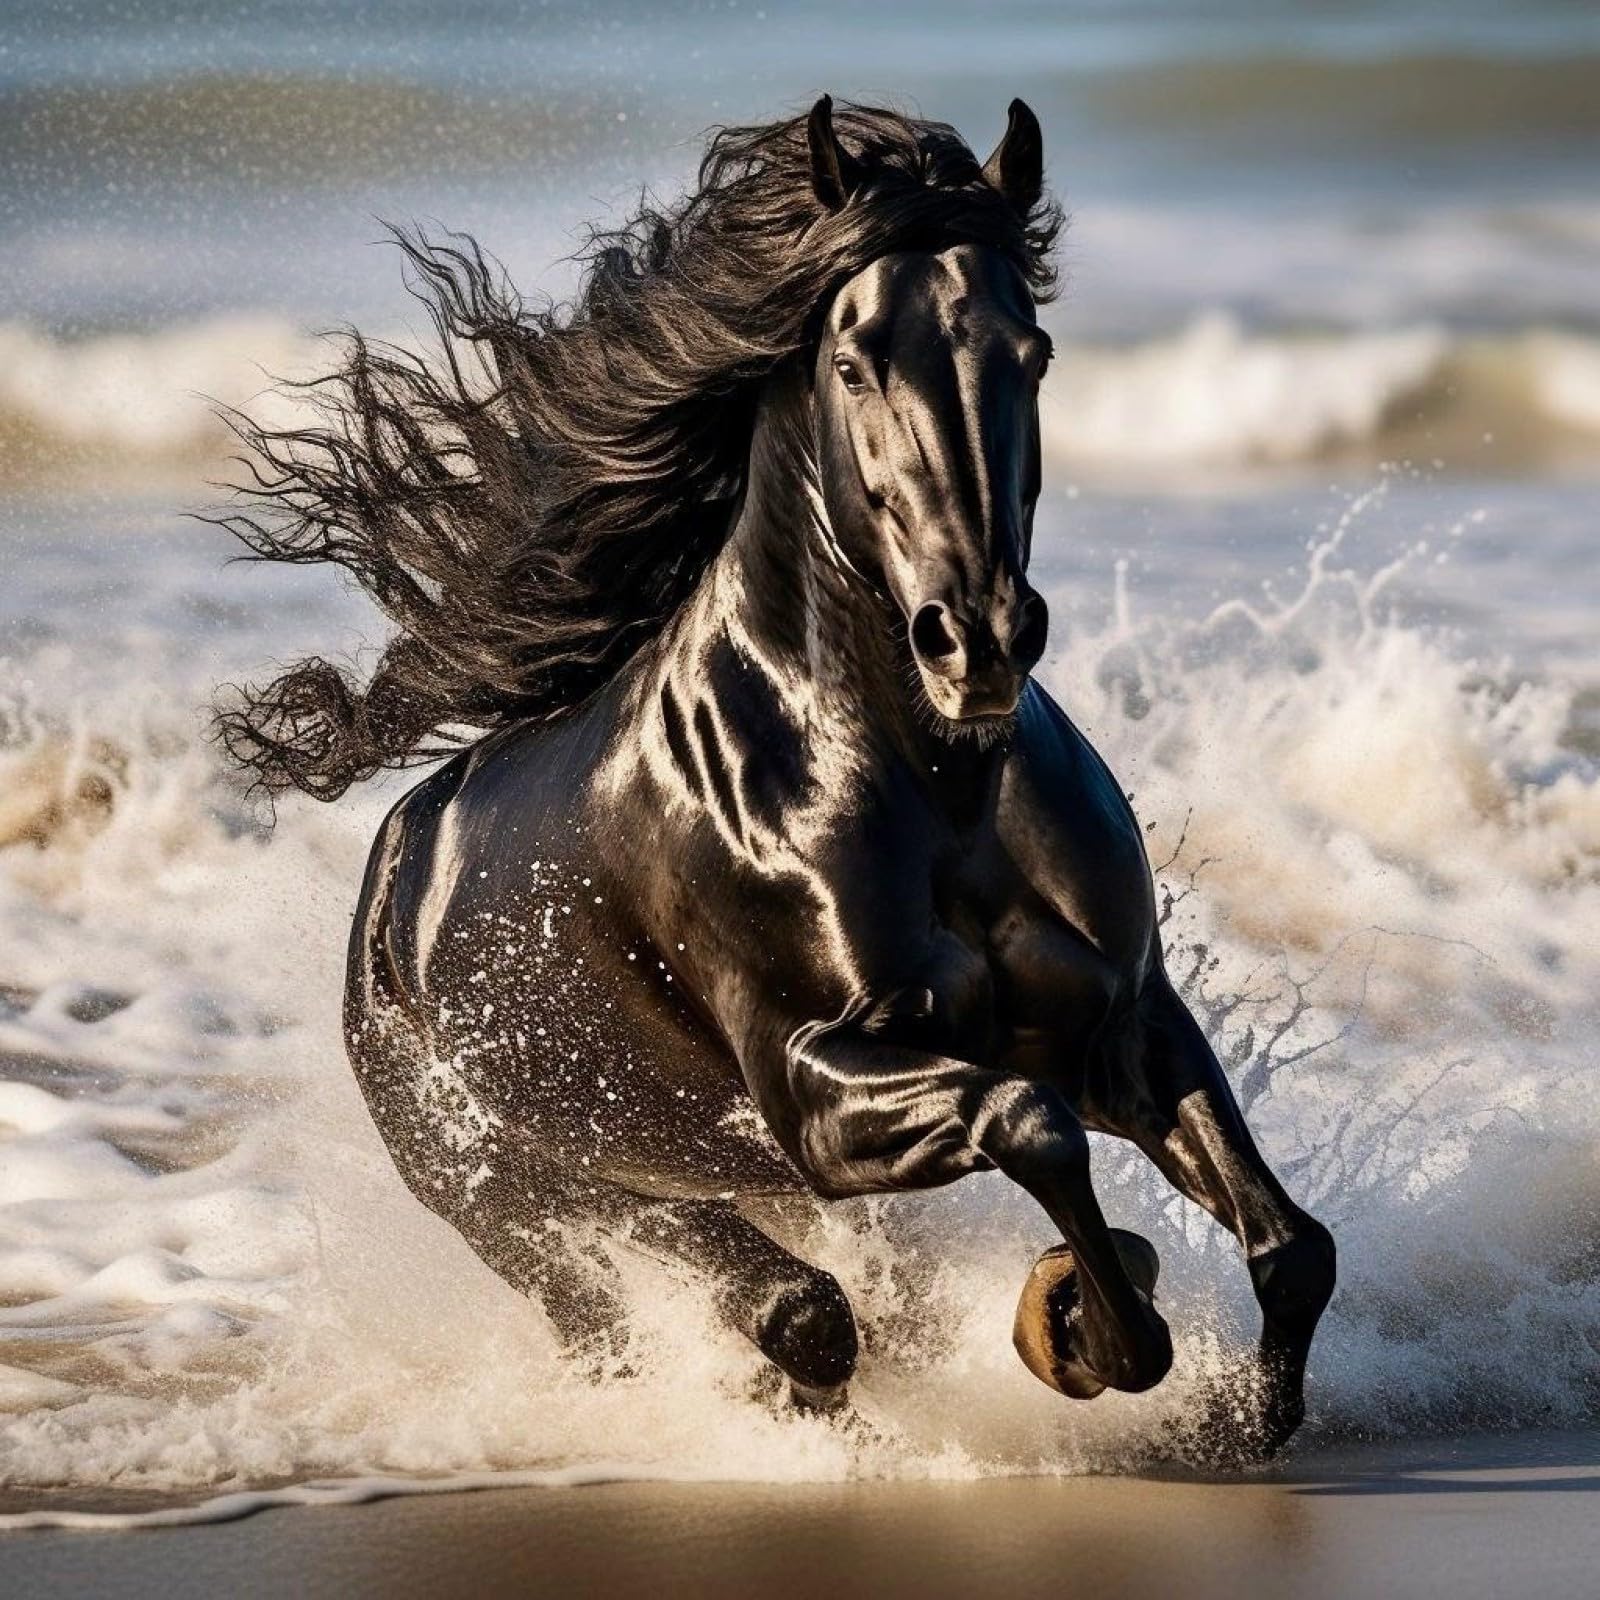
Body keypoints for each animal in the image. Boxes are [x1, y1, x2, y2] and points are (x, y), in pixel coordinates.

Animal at [216, 97, 1335, 1451]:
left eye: (1032, 355)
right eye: (853, 363)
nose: (976, 639)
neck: (932, 788)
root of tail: (392, 876)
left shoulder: (1120, 1025)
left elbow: (1291, 1246)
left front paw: (1237, 1417)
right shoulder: (810, 1090)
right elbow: (1029, 1123)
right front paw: (1084, 1329)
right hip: (516, 1189)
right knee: (747, 1308)